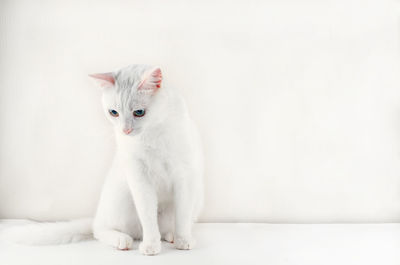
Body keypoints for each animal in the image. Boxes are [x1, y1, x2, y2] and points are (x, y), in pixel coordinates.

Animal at [0, 63, 203, 254]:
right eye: (113, 112)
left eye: (139, 112)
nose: (125, 130)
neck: (152, 134)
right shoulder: (138, 177)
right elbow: (147, 215)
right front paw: (151, 245)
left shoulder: (185, 174)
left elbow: (183, 215)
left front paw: (183, 240)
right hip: (120, 197)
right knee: (100, 230)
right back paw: (122, 239)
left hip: (195, 200)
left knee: (168, 225)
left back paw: (171, 235)